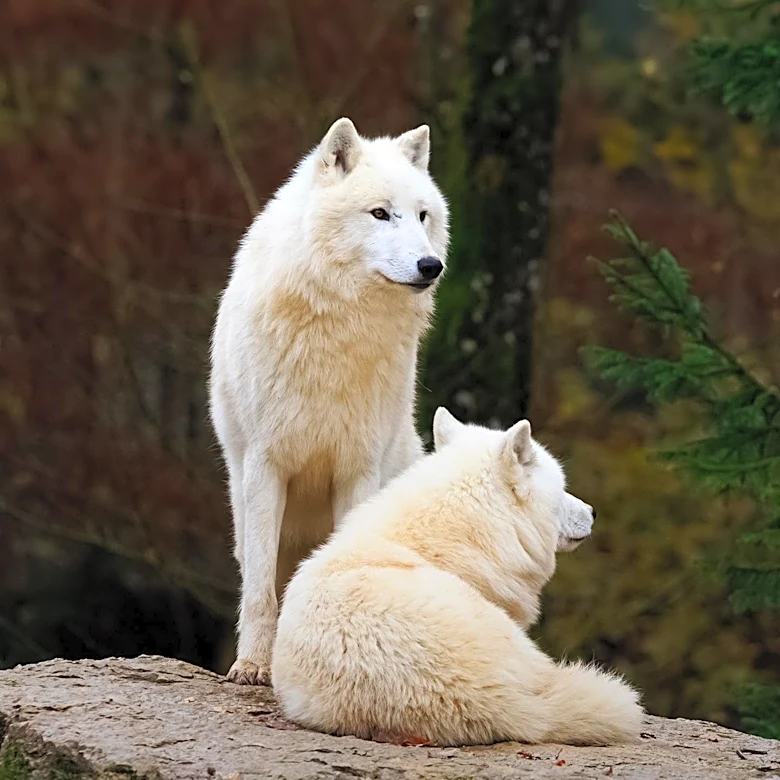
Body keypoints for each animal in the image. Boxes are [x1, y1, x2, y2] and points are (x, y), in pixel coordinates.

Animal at [209, 118, 449, 684]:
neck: (339, 329)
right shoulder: (266, 466)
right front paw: (252, 666)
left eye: (422, 215)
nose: (431, 265)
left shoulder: (357, 470)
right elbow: (259, 593)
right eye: (380, 213)